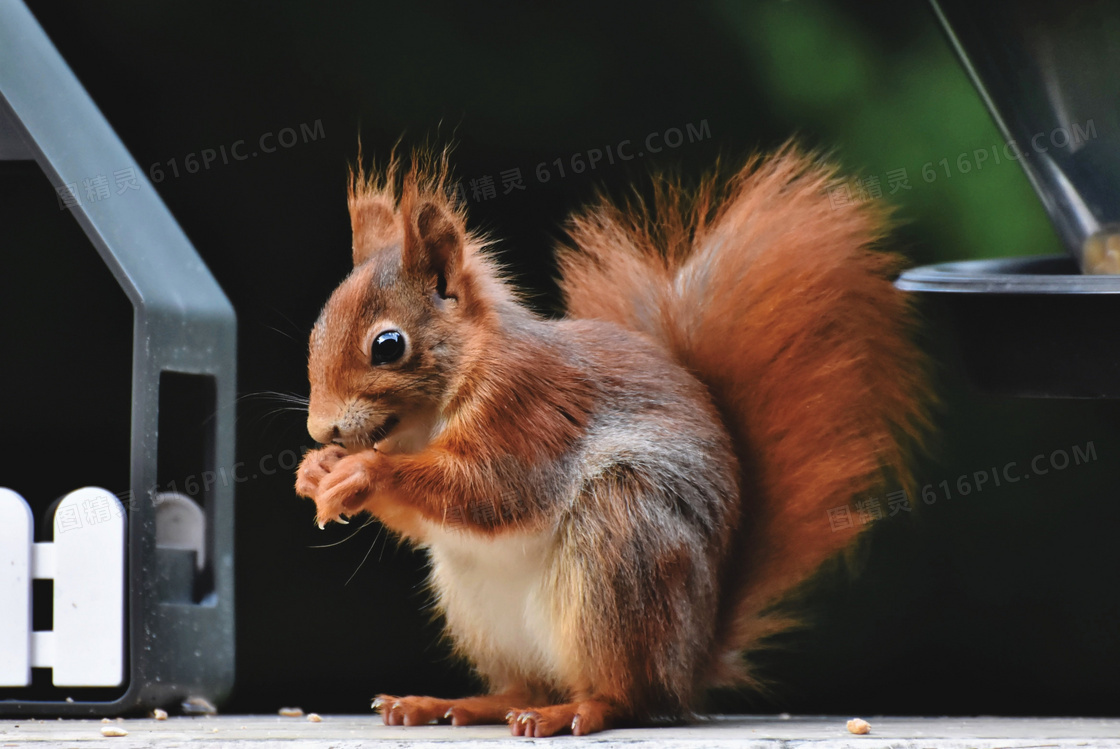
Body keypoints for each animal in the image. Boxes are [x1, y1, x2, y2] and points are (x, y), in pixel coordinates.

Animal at [295, 145, 927, 734]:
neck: (428, 417)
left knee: (625, 697)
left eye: (388, 345)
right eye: (317, 328)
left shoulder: (528, 412)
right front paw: (315, 470)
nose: (320, 429)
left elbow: (491, 491)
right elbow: (425, 519)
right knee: (523, 687)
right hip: (480, 608)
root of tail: (691, 662)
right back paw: (447, 703)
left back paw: (574, 711)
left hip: (621, 548)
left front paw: (361, 471)